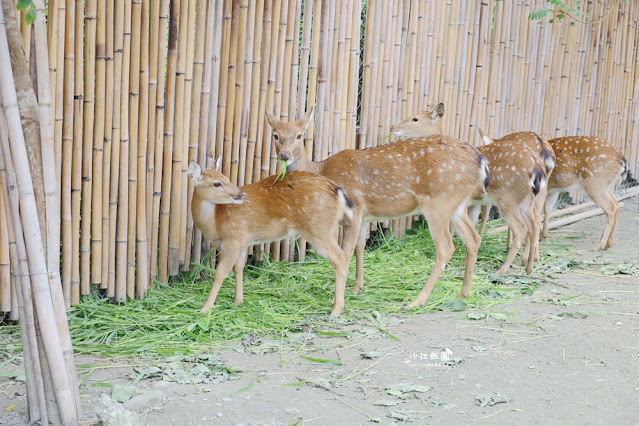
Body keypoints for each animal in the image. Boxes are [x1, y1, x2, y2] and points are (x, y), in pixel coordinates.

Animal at [185, 160, 356, 316]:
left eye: (226, 178)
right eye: (217, 183)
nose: (241, 194)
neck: (214, 222)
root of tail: (338, 192)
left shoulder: (233, 238)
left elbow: (220, 273)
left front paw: (205, 309)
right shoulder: (242, 242)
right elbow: (239, 268)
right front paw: (237, 301)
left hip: (317, 228)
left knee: (339, 257)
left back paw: (336, 310)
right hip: (330, 228)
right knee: (345, 254)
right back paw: (336, 301)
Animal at [268, 108, 488, 308]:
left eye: (299, 135)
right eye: (276, 135)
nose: (285, 155)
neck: (322, 170)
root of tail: (481, 161)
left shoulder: (355, 209)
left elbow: (346, 251)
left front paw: (337, 298)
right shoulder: (365, 215)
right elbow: (360, 247)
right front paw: (357, 287)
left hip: (439, 203)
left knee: (445, 248)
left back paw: (417, 301)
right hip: (458, 204)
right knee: (472, 238)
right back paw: (463, 293)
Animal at [392, 105, 548, 274]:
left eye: (415, 118)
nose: (393, 127)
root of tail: (537, 169)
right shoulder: (472, 203)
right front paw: (464, 262)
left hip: (508, 198)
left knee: (521, 228)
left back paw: (503, 269)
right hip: (527, 200)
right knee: (534, 224)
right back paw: (529, 265)